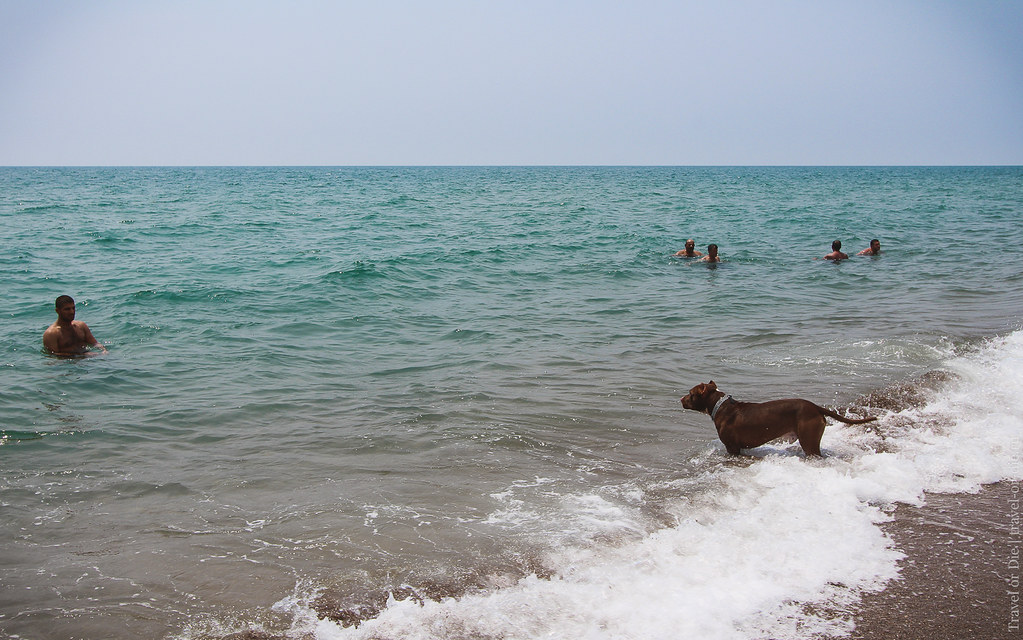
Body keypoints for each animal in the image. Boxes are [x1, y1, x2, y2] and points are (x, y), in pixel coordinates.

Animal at [683, 378, 875, 453]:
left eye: (690, 394)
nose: (680, 399)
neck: (719, 406)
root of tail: (815, 407)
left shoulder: (733, 448)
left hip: (809, 441)